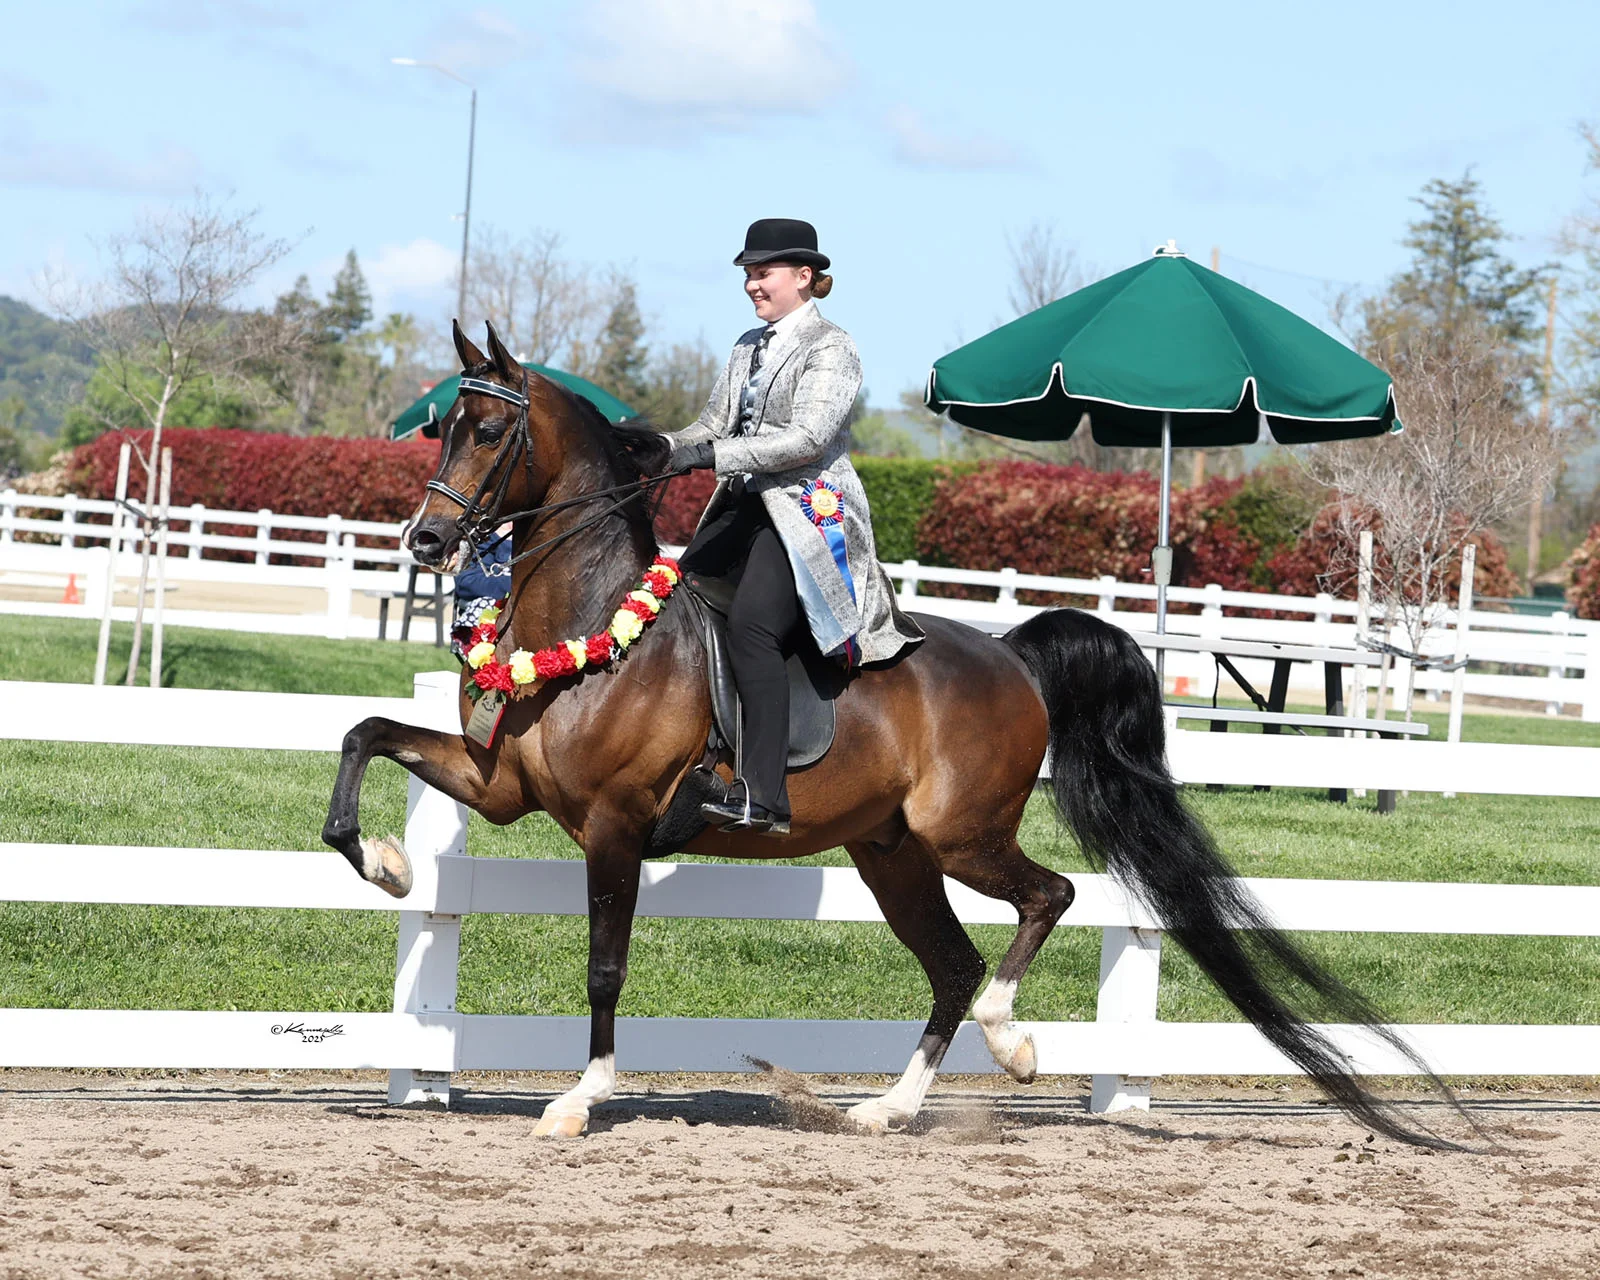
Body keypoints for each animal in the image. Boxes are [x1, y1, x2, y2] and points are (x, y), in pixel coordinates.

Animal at [323, 320, 1464, 1146]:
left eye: (490, 432)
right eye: (441, 425)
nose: (426, 540)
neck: (595, 623)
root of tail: (1012, 655)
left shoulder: (614, 823)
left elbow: (606, 964)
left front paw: (578, 1098)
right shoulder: (500, 786)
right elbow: (365, 732)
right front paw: (384, 860)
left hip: (960, 834)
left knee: (1047, 899)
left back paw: (1014, 1048)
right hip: (892, 854)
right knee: (953, 964)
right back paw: (891, 1107)